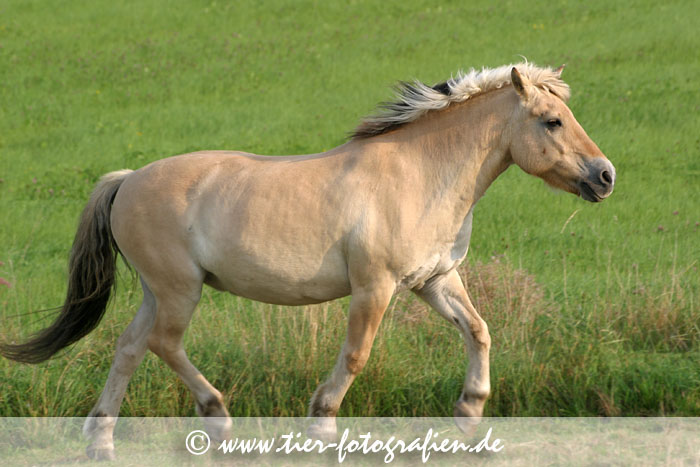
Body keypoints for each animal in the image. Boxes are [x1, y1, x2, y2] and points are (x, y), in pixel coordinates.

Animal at [0, 63, 612, 460]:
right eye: (552, 121)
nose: (605, 177)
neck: (420, 175)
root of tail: (126, 181)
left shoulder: (434, 280)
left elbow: (479, 330)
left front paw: (470, 413)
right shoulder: (375, 287)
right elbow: (357, 355)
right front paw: (322, 425)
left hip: (159, 290)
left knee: (130, 347)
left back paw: (101, 441)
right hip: (180, 289)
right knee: (163, 344)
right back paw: (217, 418)